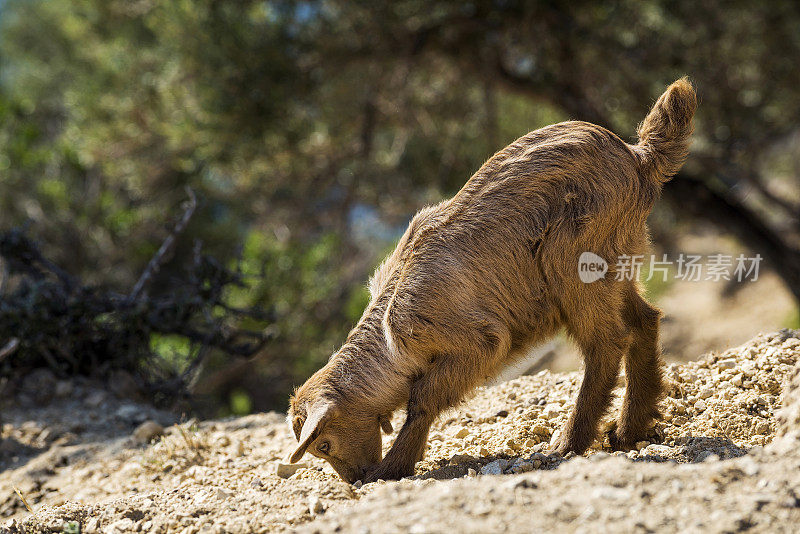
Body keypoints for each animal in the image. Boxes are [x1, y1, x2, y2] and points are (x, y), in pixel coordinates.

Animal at [286, 77, 692, 484]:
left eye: (325, 444)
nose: (354, 477)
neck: (390, 329)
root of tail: (638, 157)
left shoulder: (477, 341)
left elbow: (423, 398)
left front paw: (393, 467)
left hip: (574, 258)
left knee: (606, 342)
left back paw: (569, 442)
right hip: (617, 263)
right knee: (643, 320)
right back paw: (629, 431)